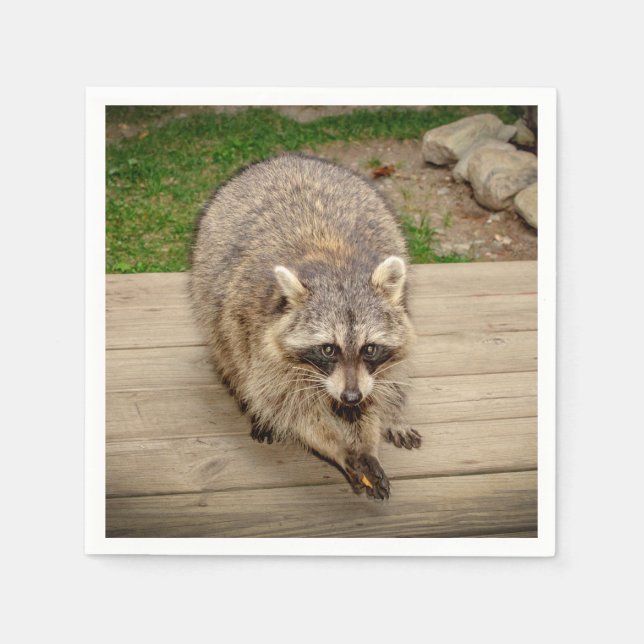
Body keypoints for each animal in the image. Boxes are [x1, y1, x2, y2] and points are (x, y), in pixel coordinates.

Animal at [190, 154, 420, 499]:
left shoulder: (375, 365)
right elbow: (290, 407)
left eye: (369, 348)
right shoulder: (259, 338)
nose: (350, 397)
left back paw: (394, 414)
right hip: (212, 298)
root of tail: (287, 158)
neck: (335, 263)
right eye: (328, 349)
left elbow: (376, 393)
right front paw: (338, 448)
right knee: (230, 356)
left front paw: (369, 437)